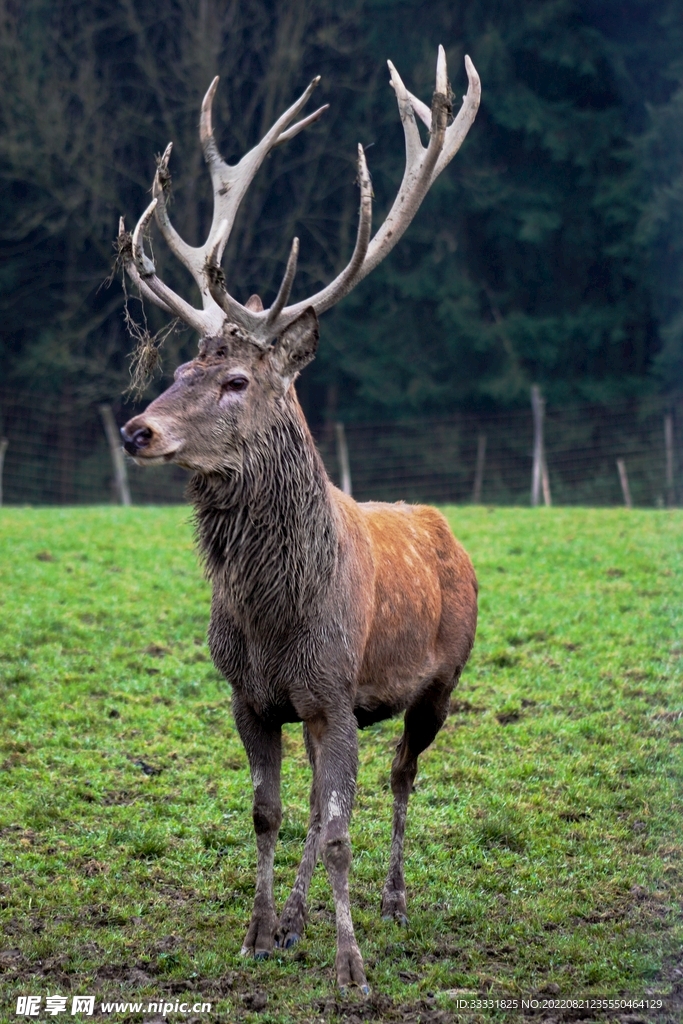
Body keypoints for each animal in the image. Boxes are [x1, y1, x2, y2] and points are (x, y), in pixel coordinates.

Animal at [119, 46, 480, 995]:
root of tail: (444, 526)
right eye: (180, 368)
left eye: (237, 380)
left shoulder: (333, 685)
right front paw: (258, 931)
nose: (136, 428)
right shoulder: (254, 697)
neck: (275, 618)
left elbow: (341, 826)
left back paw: (391, 903)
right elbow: (272, 815)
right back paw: (295, 919)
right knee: (326, 802)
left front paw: (352, 971)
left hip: (439, 681)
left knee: (399, 779)